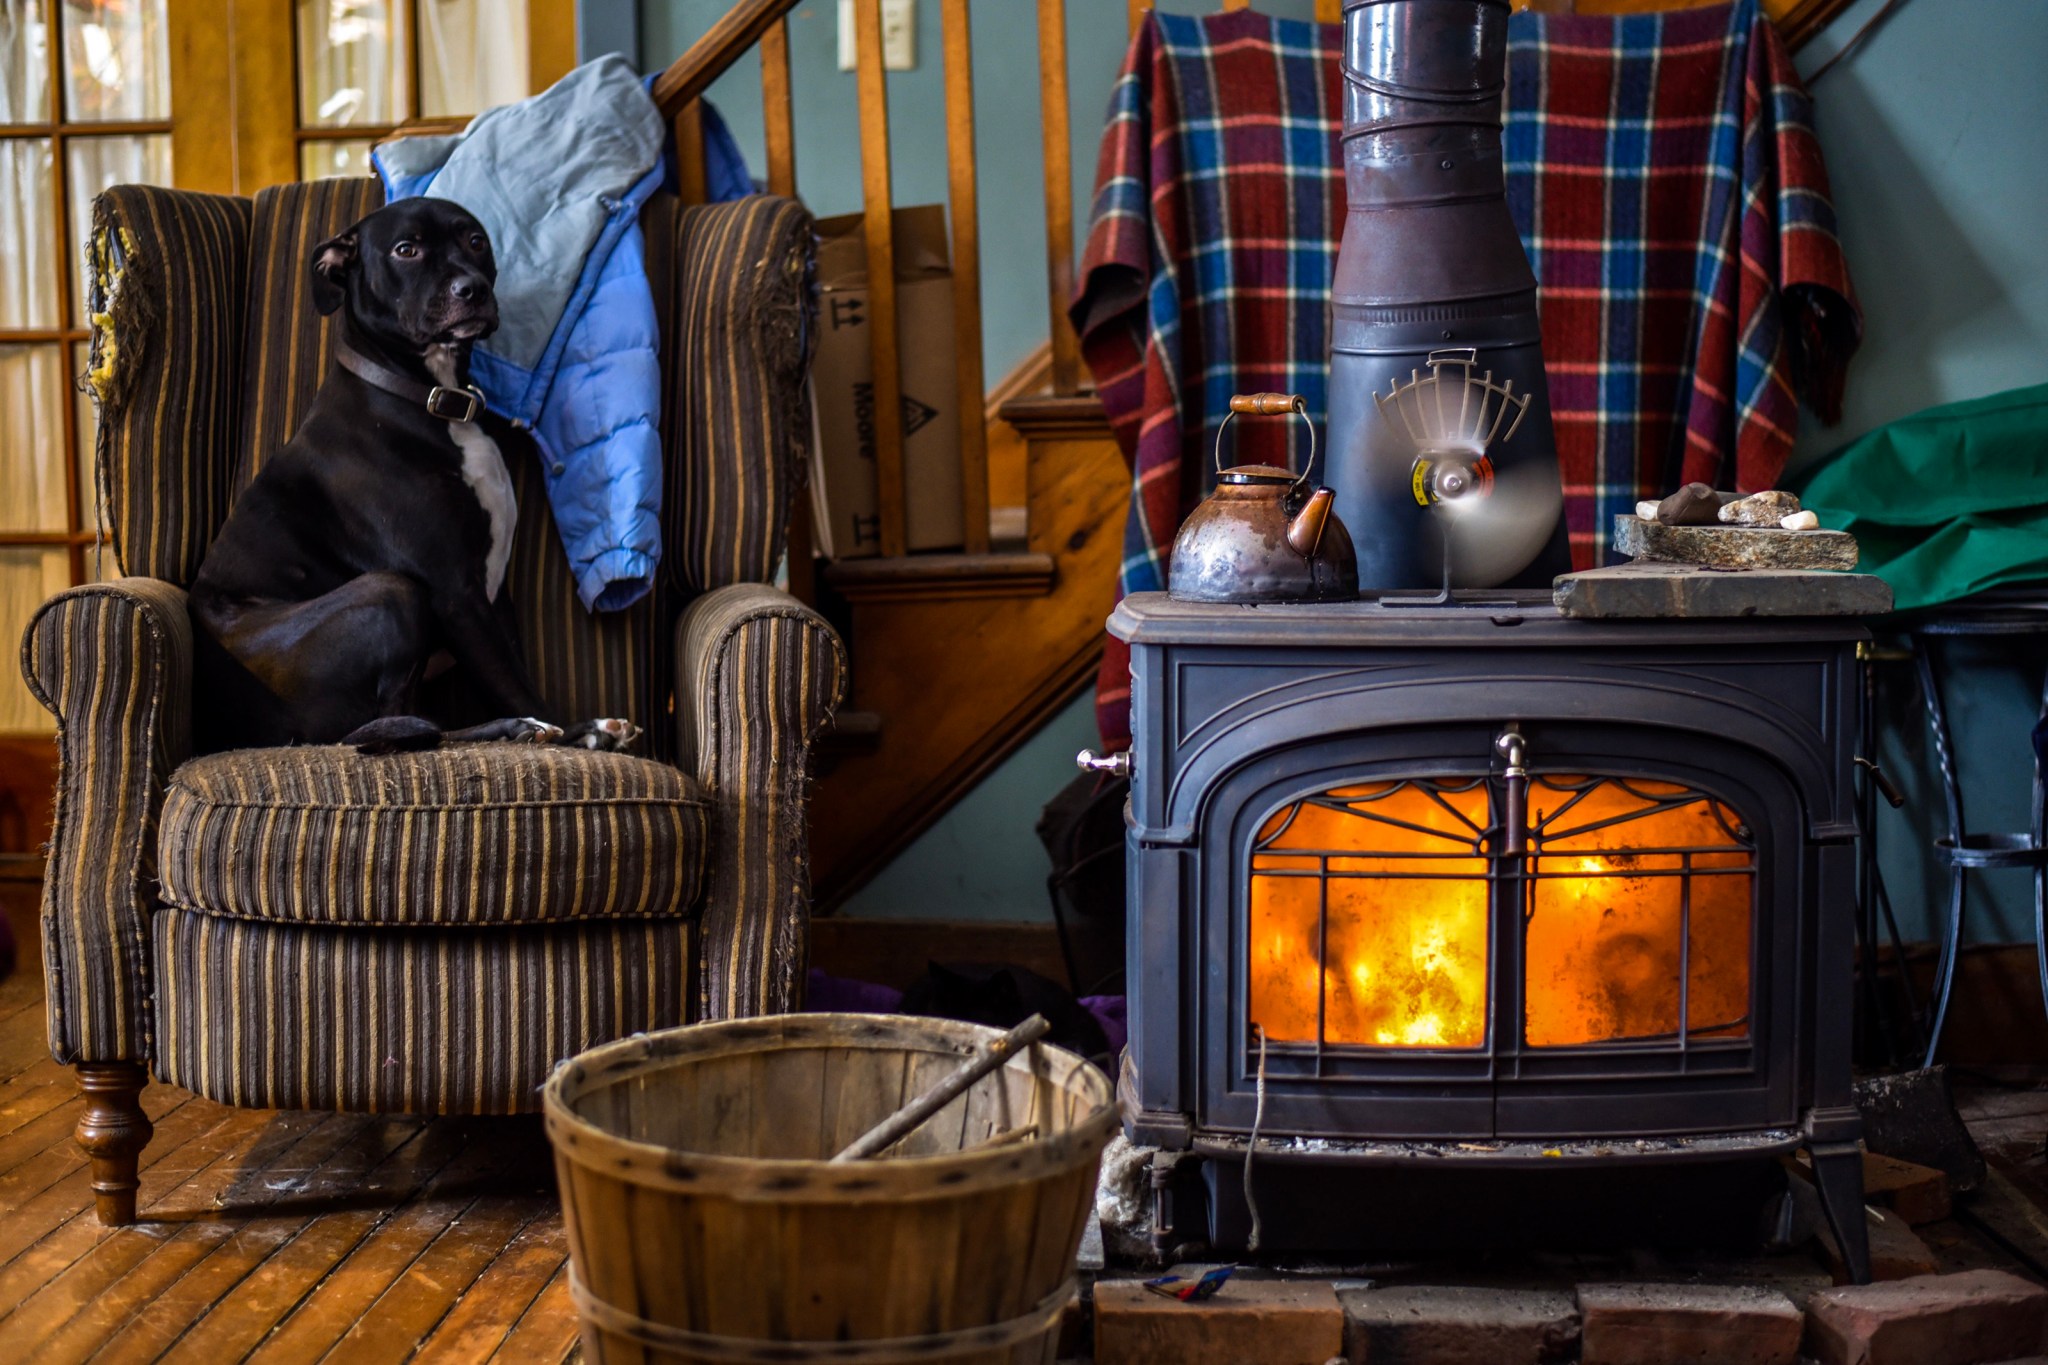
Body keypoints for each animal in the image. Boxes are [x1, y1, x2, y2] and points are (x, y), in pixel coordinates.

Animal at [193, 198, 638, 757]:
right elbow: (516, 685)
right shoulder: (456, 593)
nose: (473, 288)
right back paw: (522, 729)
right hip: (392, 592)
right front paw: (572, 734)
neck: (429, 397)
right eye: (407, 250)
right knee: (394, 729)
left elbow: (512, 669)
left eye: (475, 241)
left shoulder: (494, 597)